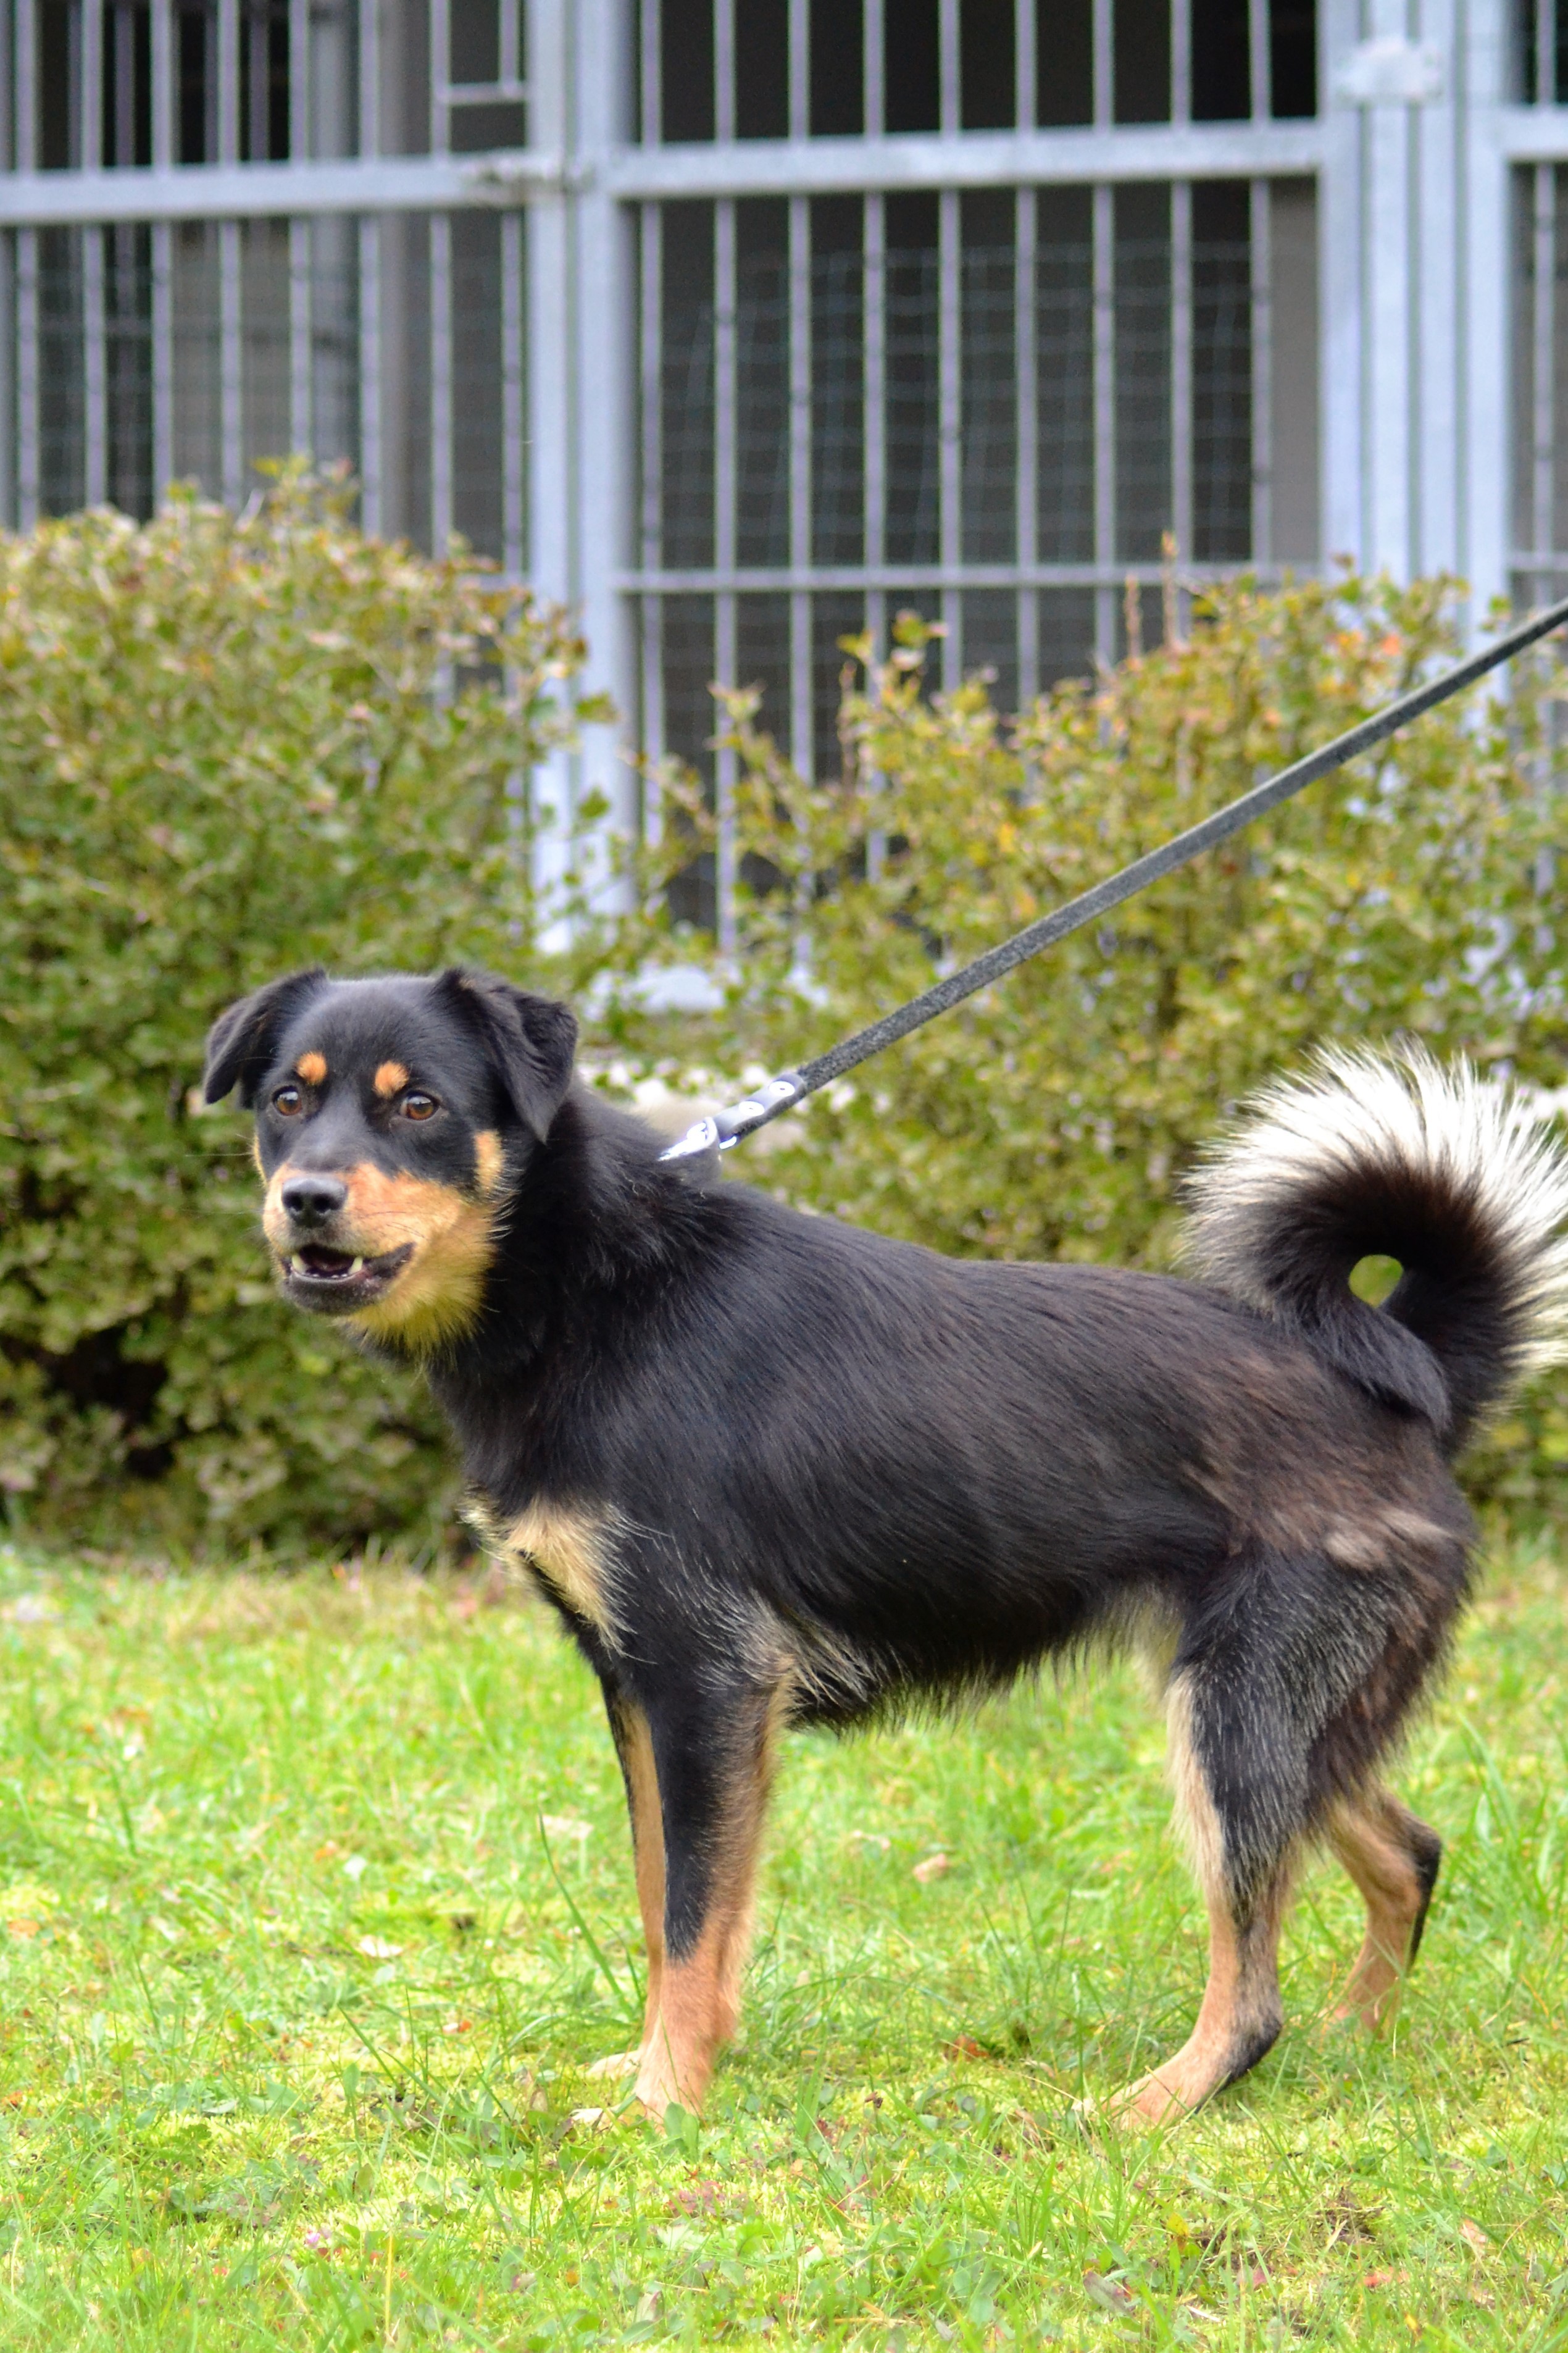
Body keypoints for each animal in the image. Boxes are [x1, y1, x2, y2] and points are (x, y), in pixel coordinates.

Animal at [203, 965, 1568, 2124]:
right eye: (287, 1101)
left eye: (418, 1103)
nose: (303, 1200)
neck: (592, 1281)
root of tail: (1409, 1381)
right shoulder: (639, 1687)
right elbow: (664, 1905)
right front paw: (660, 2063)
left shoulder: (707, 1680)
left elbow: (690, 1918)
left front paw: (661, 2103)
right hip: (1282, 1717)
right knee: (1407, 1854)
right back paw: (1352, 2043)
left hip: (1235, 1722)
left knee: (1254, 1984)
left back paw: (1165, 2098)